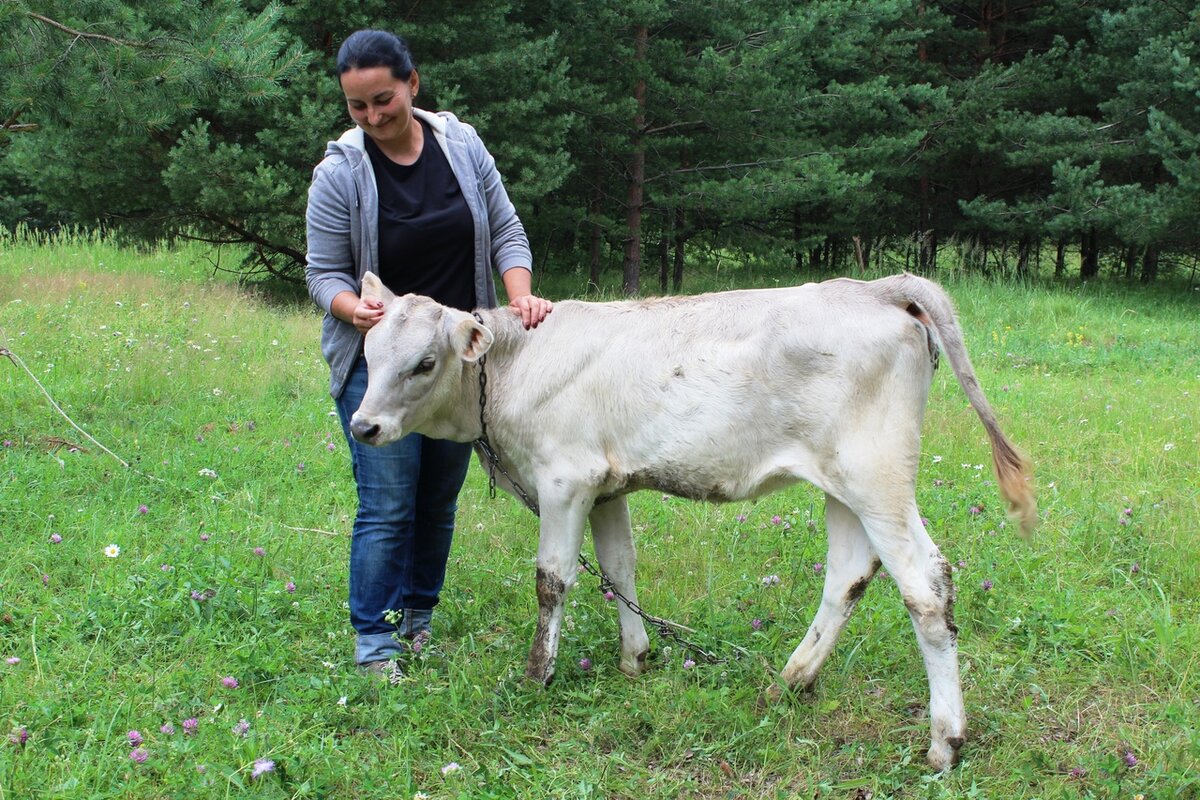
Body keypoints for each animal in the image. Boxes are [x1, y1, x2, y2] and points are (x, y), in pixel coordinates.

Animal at [350, 272, 1041, 772]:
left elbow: (552, 581)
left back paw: (945, 741)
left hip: (878, 475)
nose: (363, 426)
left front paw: (536, 676)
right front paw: (636, 659)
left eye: (424, 362)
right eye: (369, 352)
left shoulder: (565, 479)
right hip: (844, 484)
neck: (515, 367)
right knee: (848, 574)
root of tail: (878, 286)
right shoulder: (605, 485)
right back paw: (789, 682)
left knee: (926, 585)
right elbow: (617, 569)